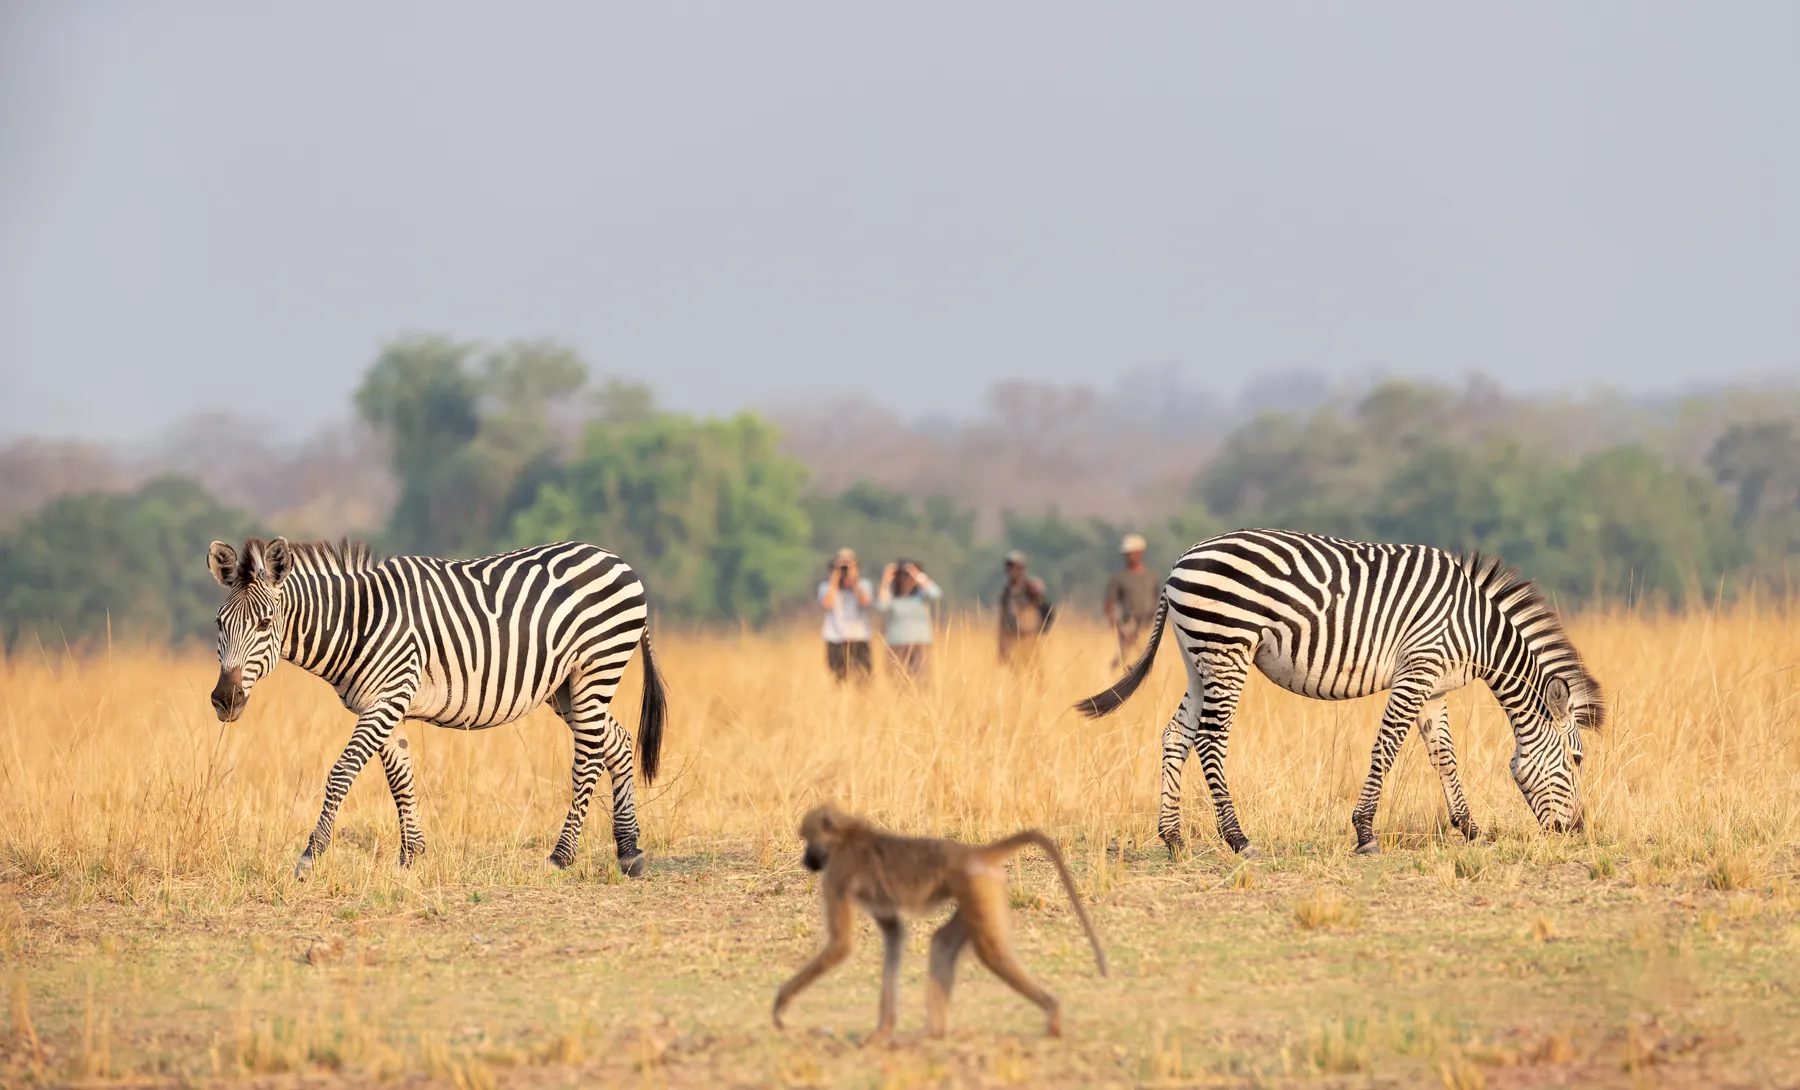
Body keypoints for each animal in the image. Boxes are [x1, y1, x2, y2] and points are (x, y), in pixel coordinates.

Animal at [206, 536, 668, 879]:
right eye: (219, 624)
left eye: (265, 624)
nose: (225, 700)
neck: (358, 622)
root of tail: (618, 561)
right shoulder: (380, 703)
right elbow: (400, 778)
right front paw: (411, 855)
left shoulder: (390, 696)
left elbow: (342, 772)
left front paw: (310, 855)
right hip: (566, 688)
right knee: (618, 742)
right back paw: (629, 851)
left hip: (596, 668)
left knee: (589, 758)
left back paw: (561, 856)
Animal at [771, 804, 1108, 1042]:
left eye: (807, 839)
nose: (806, 861)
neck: (846, 836)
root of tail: (974, 853)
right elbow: (894, 934)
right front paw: (882, 1032)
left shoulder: (837, 874)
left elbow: (840, 946)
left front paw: (780, 1006)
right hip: (981, 889)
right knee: (943, 942)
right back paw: (931, 1033)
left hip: (975, 886)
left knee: (992, 953)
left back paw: (1053, 1015)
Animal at [1075, 528, 1604, 857]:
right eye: (1577, 761)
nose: (1578, 831)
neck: (1478, 630)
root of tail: (1179, 564)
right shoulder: (1417, 669)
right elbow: (1387, 747)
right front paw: (1365, 832)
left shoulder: (1433, 686)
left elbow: (1444, 757)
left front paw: (1471, 829)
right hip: (1227, 649)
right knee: (1209, 738)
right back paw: (1238, 839)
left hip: (1197, 658)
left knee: (1175, 734)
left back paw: (1173, 838)